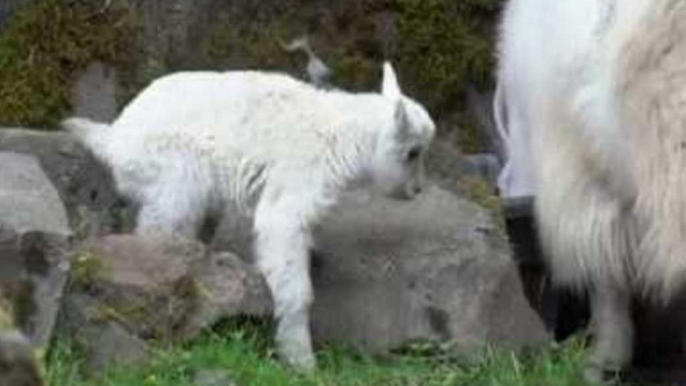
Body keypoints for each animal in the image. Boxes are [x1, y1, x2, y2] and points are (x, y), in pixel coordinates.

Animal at [66, 63, 440, 370]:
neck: (342, 134)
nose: (416, 190)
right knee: (167, 218)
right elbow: (281, 231)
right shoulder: (300, 173)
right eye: (413, 152)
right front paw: (301, 360)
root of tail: (114, 137)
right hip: (169, 163)